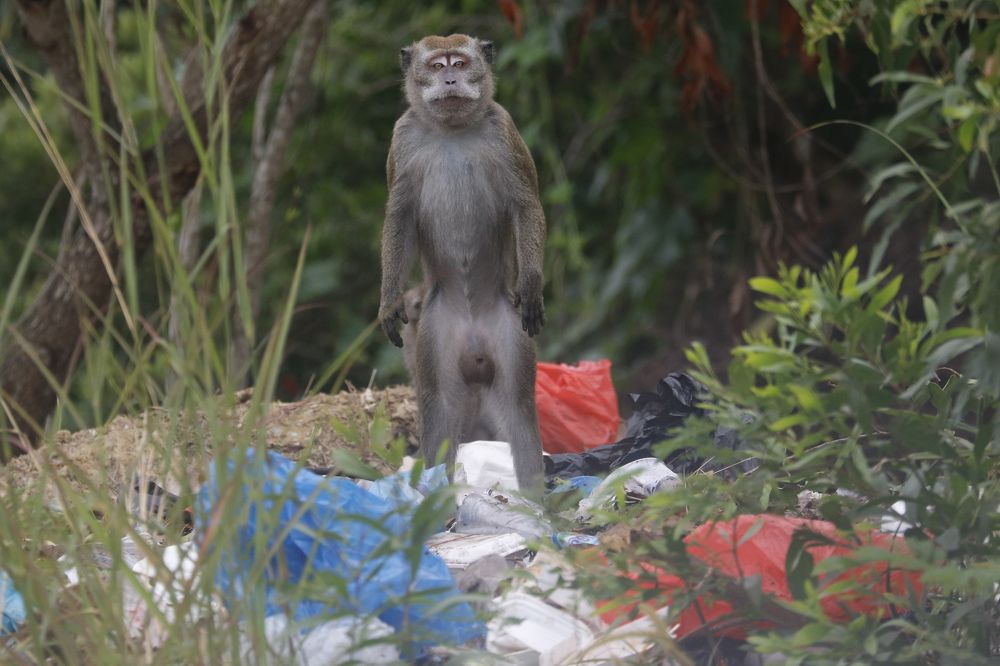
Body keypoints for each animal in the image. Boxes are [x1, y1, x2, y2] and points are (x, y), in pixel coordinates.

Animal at [378, 34, 546, 492]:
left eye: (461, 63)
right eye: (437, 65)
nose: (451, 79)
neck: (451, 130)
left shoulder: (503, 128)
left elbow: (526, 205)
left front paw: (532, 285)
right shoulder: (401, 138)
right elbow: (399, 218)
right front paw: (387, 302)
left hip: (508, 332)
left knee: (518, 406)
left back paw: (538, 505)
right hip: (433, 336)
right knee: (440, 405)